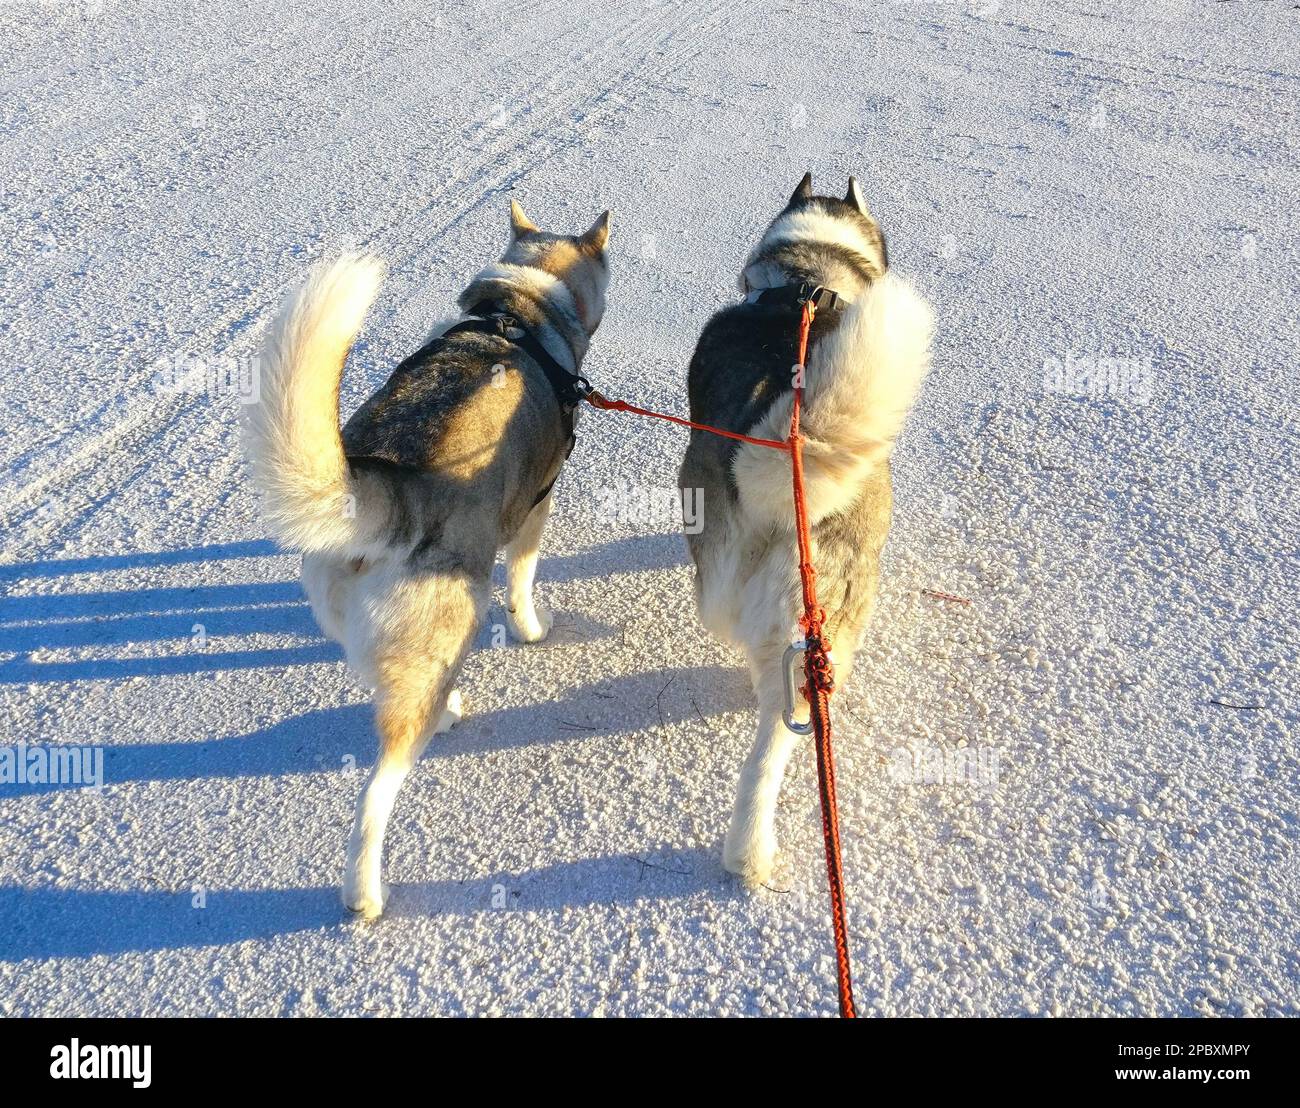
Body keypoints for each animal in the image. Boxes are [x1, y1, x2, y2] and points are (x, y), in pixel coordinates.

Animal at [245, 201, 611, 915]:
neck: (514, 312)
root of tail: (388, 484)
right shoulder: (536, 506)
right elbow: (524, 584)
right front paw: (534, 629)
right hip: (453, 619)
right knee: (377, 794)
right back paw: (365, 890)